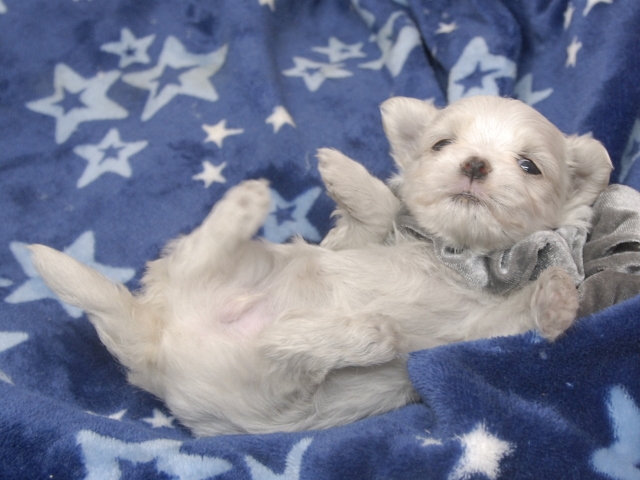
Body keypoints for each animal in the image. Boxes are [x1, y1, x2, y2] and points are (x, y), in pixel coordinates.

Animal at [30, 96, 613, 436]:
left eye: (529, 165)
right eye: (441, 144)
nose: (474, 164)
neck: (456, 254)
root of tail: (151, 342)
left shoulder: (478, 330)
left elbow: (522, 316)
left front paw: (556, 299)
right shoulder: (351, 242)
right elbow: (379, 206)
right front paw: (345, 173)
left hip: (269, 392)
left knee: (279, 346)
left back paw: (366, 333)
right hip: (245, 274)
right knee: (206, 255)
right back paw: (245, 206)